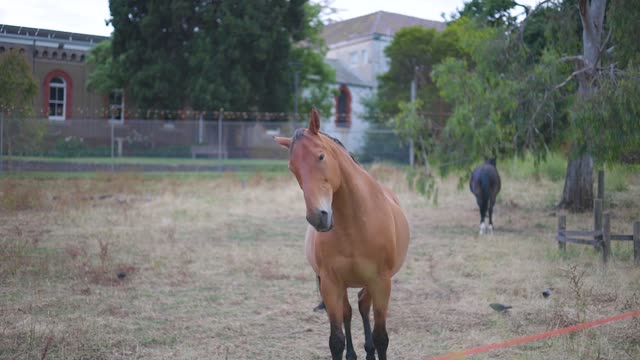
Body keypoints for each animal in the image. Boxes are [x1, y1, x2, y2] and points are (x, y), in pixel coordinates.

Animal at [276, 107, 410, 360]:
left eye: (320, 156)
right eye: (292, 168)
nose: (318, 217)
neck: (355, 225)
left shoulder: (381, 281)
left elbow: (381, 337)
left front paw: (374, 347)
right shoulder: (330, 284)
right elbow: (336, 340)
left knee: (362, 306)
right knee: (349, 311)